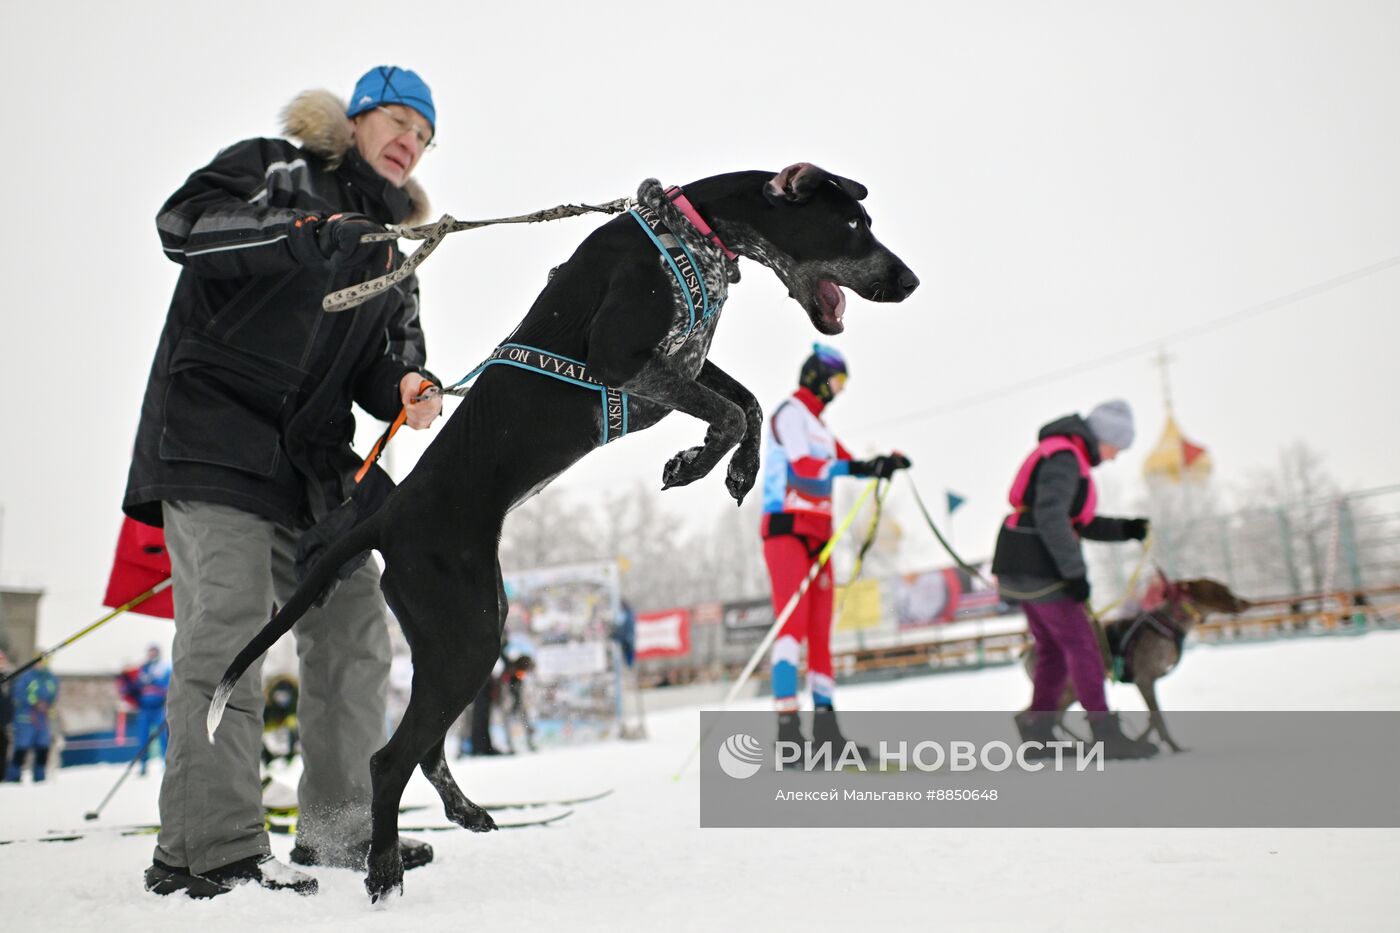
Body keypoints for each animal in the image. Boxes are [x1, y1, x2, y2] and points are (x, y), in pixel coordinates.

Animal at [203, 163, 912, 896]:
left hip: (469, 636)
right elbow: (732, 410)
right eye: (853, 225)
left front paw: (732, 466)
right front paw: (699, 461)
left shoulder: (682, 366)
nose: (909, 280)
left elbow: (746, 400)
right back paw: (385, 870)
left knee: (426, 750)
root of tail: (386, 516)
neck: (689, 230)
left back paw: (462, 811)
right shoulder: (626, 357)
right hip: (466, 641)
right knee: (388, 760)